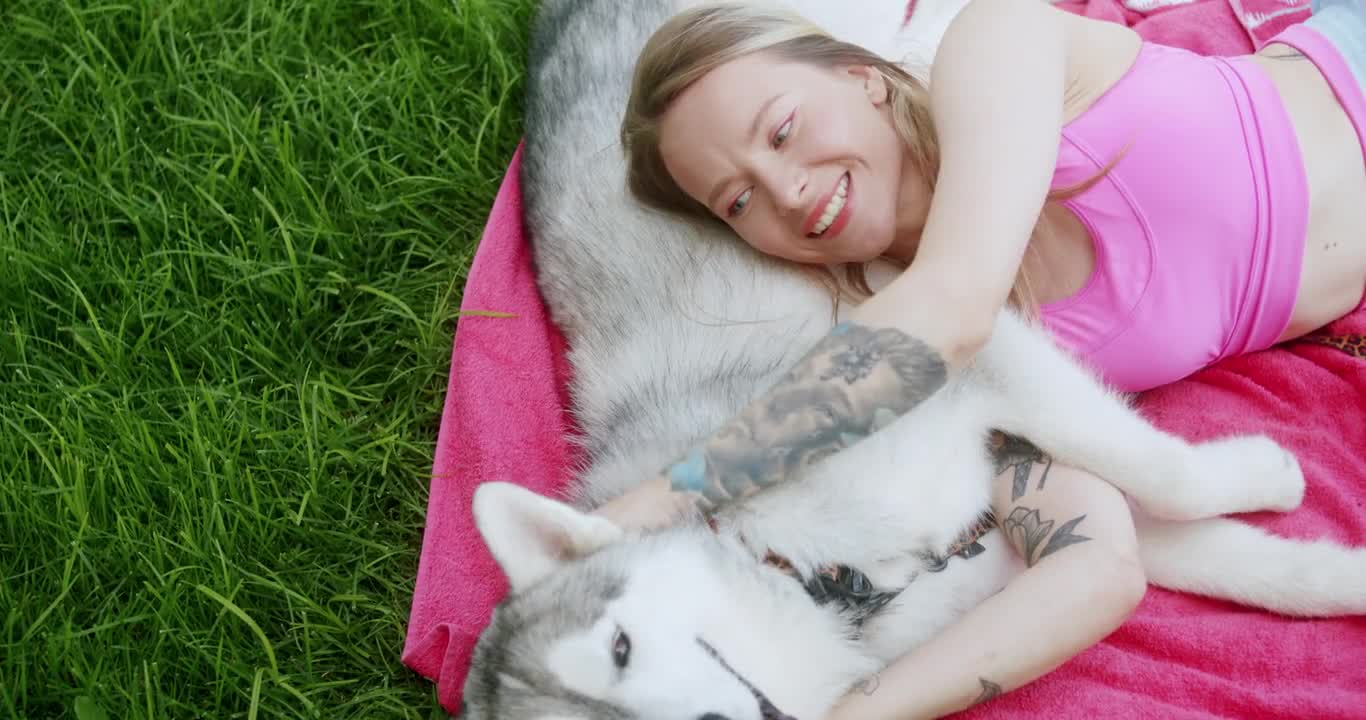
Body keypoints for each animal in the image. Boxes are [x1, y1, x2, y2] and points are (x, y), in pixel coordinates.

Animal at [461, 0, 1366, 715]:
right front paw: (1336, 577)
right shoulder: (1012, 529)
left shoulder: (968, 358)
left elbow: (1165, 475)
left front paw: (1265, 476)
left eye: (620, 646)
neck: (811, 568)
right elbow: (1202, 553)